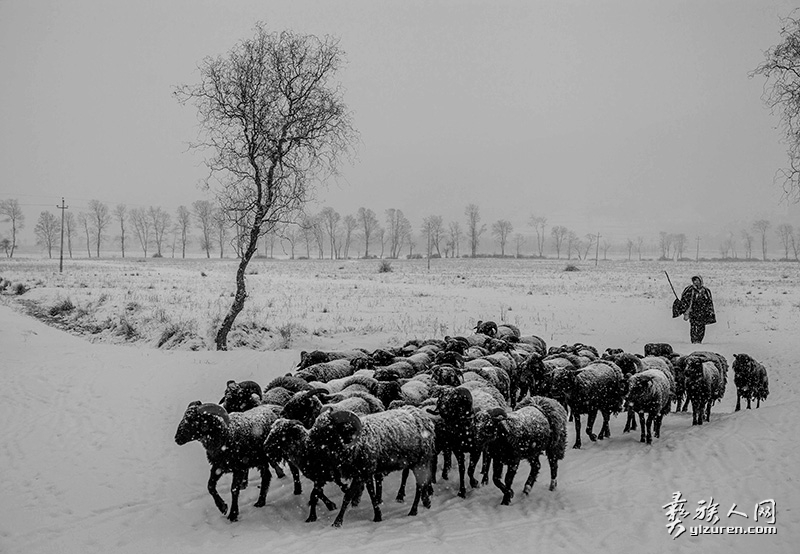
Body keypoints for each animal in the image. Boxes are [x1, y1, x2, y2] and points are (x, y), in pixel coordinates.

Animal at [306, 406, 434, 528]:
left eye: (328, 428)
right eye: (316, 423)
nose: (308, 441)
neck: (354, 443)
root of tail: (424, 417)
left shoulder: (361, 473)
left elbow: (349, 496)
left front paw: (337, 522)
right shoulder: (364, 473)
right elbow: (370, 493)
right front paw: (378, 515)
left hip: (420, 461)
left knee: (419, 486)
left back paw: (413, 511)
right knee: (422, 482)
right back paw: (426, 502)